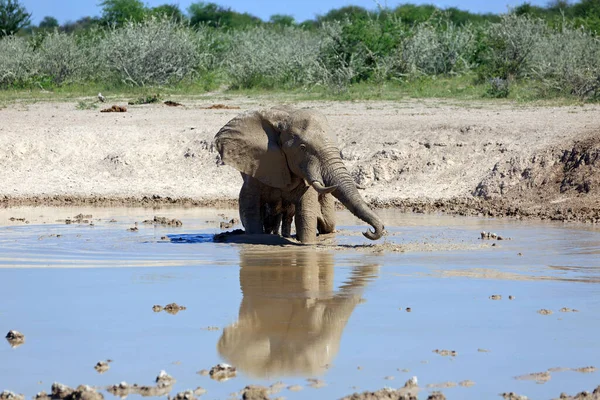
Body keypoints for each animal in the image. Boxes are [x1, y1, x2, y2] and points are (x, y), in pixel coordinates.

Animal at [213, 106, 386, 244]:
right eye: (303, 148)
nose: (368, 231)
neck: (284, 119)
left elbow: (305, 212)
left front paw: (306, 244)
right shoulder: (257, 166)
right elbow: (250, 209)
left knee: (326, 222)